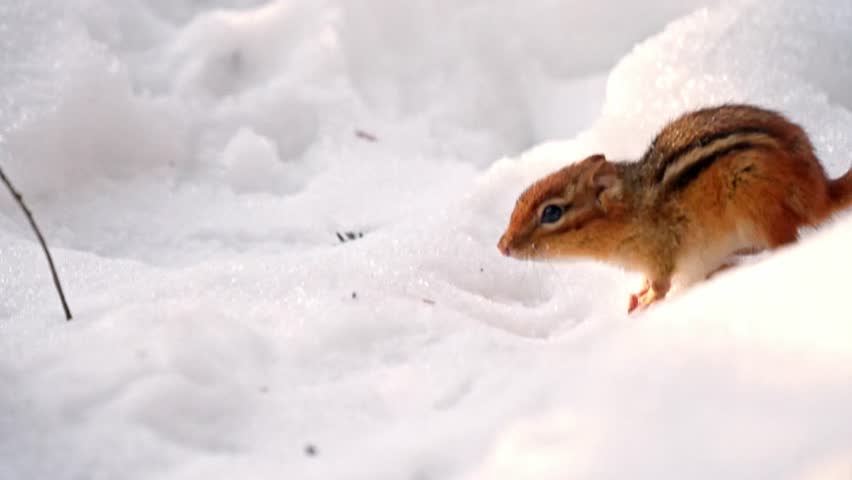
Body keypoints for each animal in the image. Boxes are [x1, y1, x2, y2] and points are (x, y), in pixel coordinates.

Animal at [497, 104, 852, 313]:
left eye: (551, 213)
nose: (502, 247)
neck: (634, 210)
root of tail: (820, 190)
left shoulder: (660, 254)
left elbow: (661, 286)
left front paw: (646, 302)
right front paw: (636, 294)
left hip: (755, 200)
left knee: (785, 244)